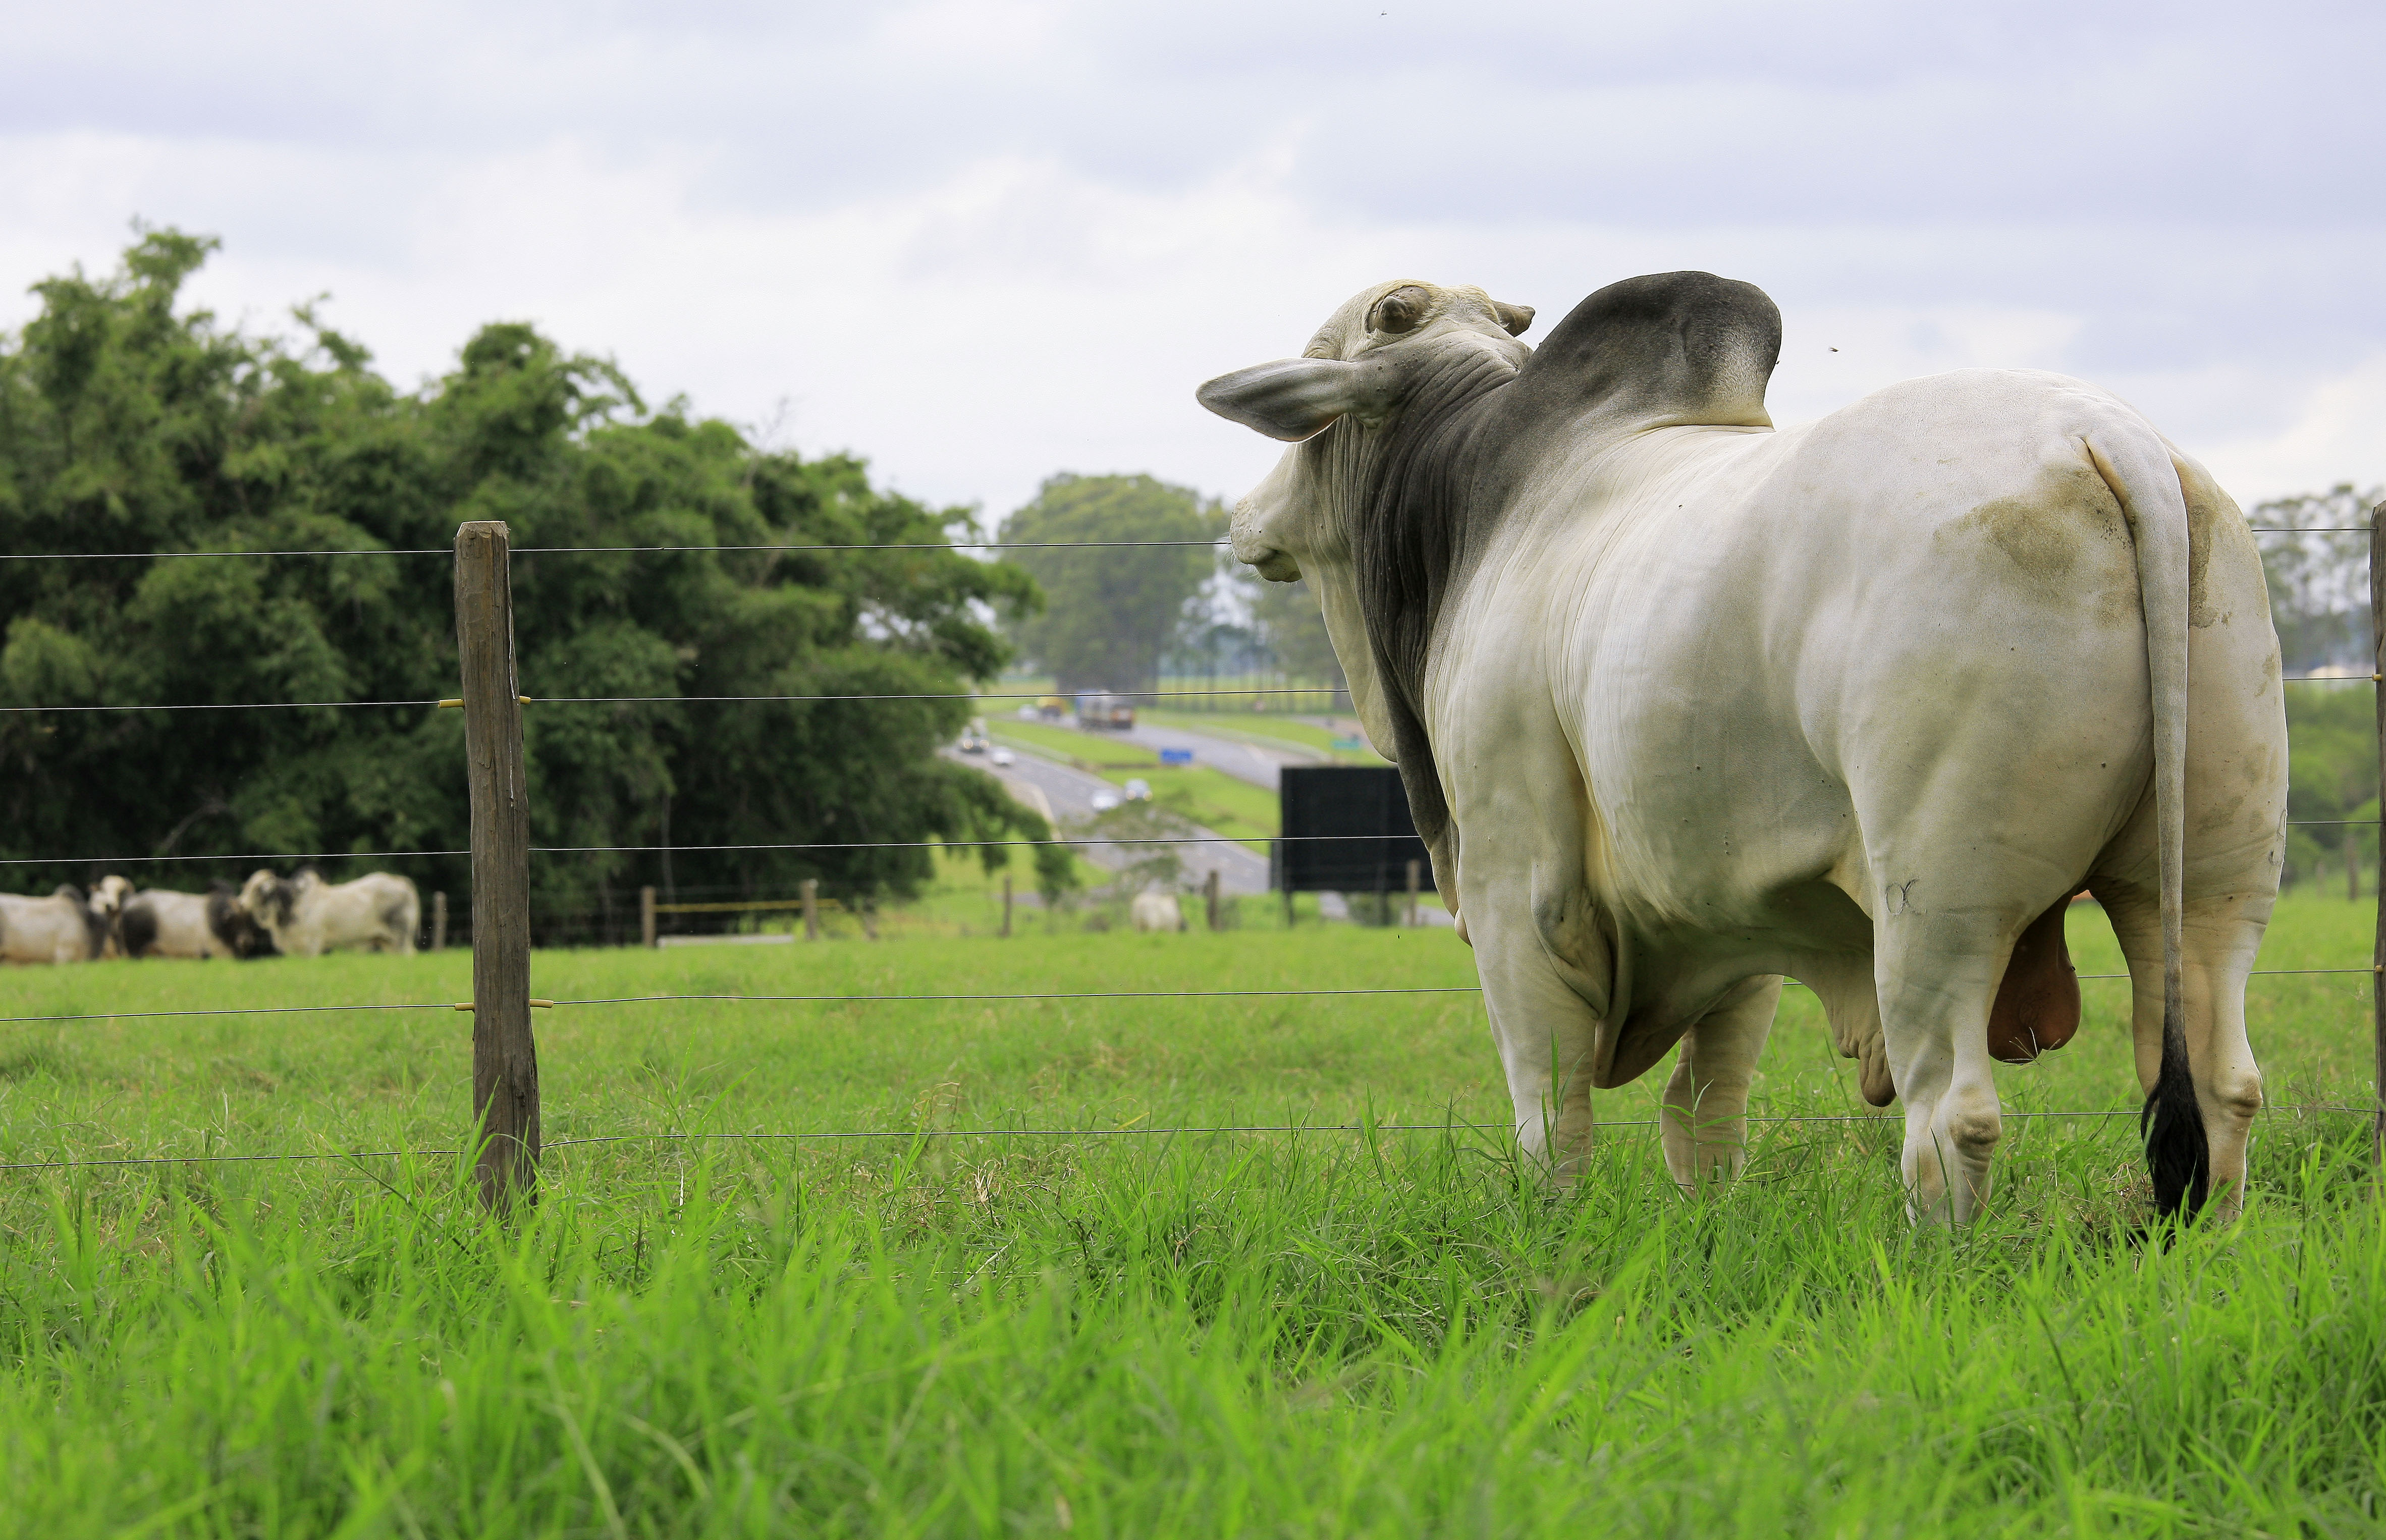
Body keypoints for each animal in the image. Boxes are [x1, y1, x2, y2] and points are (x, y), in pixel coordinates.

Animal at [240, 877, 422, 958]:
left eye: (256, 891)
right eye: (246, 887)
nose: (241, 903)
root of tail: (401, 881)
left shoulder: (313, 943)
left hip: (401, 937)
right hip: (388, 942)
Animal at [1202, 268, 2281, 1230]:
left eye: (1318, 364)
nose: (1242, 518)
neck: (1472, 508)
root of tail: (2109, 438)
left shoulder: (1517, 892)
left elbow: (1551, 1123)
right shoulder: (1737, 908)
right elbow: (1704, 1117)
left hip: (1939, 899)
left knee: (1954, 1113)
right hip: (2208, 877)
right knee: (2217, 1083)